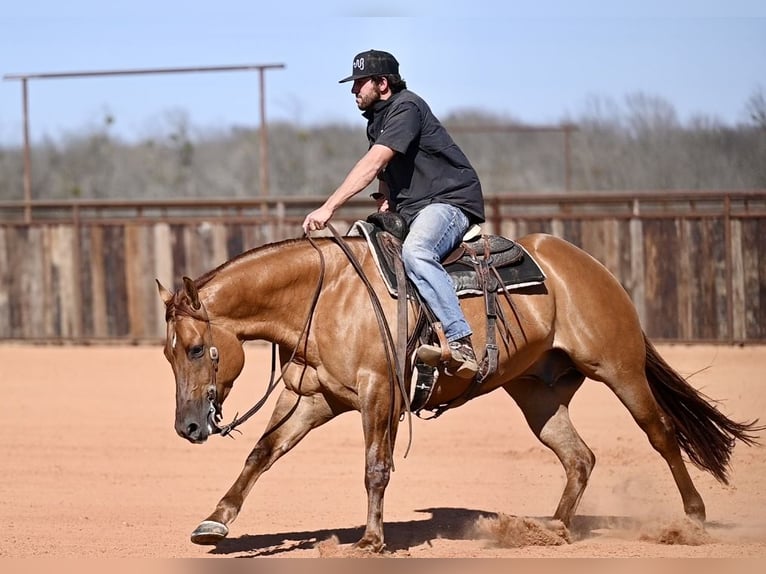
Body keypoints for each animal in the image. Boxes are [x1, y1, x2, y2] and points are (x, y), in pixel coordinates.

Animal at [156, 231, 760, 552]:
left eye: (195, 349)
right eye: (168, 353)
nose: (187, 427)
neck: (325, 297)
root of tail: (590, 265)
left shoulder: (380, 394)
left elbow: (375, 468)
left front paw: (371, 540)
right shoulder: (313, 398)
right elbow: (262, 453)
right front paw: (215, 521)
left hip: (621, 369)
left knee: (662, 434)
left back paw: (692, 519)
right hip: (537, 393)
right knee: (579, 457)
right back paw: (550, 530)